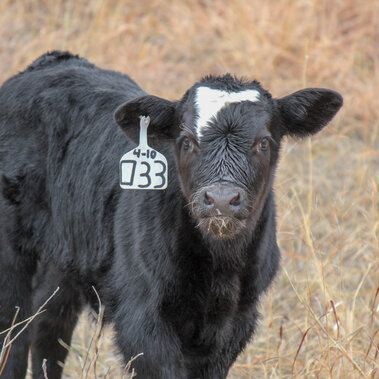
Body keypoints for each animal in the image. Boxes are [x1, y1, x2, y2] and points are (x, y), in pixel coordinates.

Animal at [0, 51, 344, 379]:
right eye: (187, 141)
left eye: (263, 142)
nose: (221, 200)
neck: (219, 269)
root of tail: (53, 62)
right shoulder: (142, 320)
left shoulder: (237, 322)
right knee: (13, 334)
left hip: (66, 254)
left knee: (48, 328)